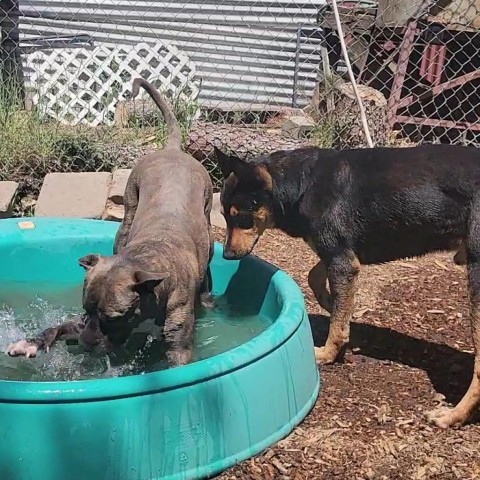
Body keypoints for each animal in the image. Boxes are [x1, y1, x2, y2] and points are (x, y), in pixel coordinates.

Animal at [7, 78, 214, 368]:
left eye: (114, 318)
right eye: (86, 309)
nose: (84, 344)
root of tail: (172, 150)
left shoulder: (178, 347)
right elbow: (57, 327)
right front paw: (30, 342)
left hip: (209, 226)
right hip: (126, 217)